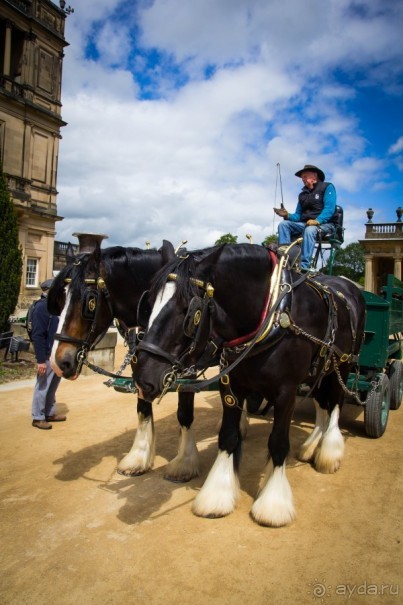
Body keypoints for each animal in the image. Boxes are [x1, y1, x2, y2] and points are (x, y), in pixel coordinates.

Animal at [49, 236, 200, 482]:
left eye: (89, 301)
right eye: (60, 299)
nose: (58, 362)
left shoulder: (190, 368)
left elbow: (184, 413)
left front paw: (184, 463)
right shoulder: (143, 365)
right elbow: (142, 408)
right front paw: (138, 458)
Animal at [134, 243, 368, 528]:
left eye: (188, 311)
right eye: (147, 305)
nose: (143, 378)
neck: (272, 313)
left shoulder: (286, 392)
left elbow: (278, 443)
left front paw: (273, 504)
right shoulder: (232, 385)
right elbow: (228, 436)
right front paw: (218, 494)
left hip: (342, 365)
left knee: (334, 403)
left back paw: (328, 452)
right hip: (320, 368)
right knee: (321, 402)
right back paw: (312, 446)